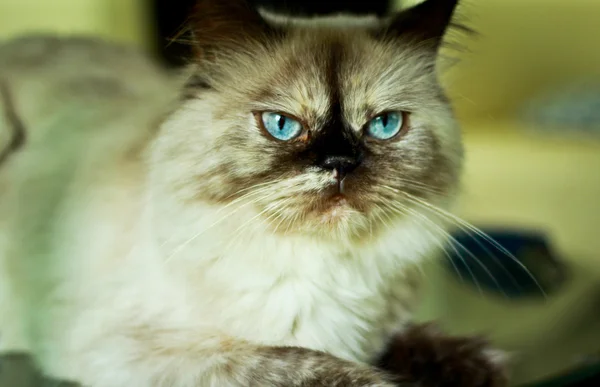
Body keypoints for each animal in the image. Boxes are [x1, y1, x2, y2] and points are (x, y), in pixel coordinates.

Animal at [0, 0, 506, 386]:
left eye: (384, 124)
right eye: (282, 125)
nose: (340, 163)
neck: (320, 268)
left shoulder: (378, 327)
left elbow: (420, 340)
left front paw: (476, 366)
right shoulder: (125, 346)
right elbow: (298, 362)